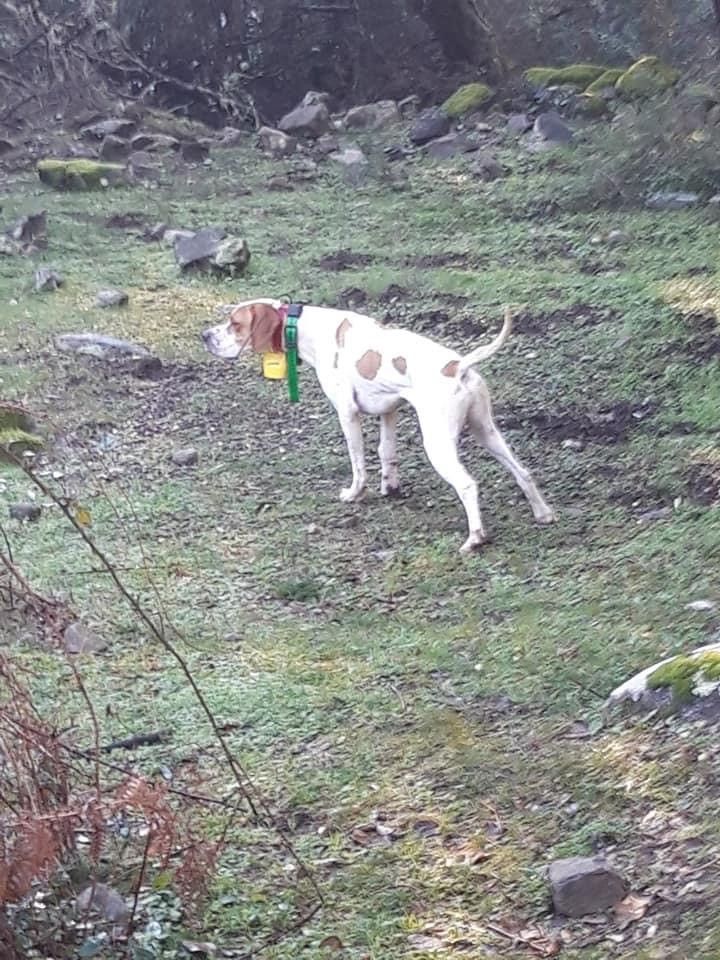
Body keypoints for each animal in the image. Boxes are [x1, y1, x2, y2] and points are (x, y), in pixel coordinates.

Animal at [204, 300, 556, 556]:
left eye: (234, 324)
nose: (205, 335)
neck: (307, 328)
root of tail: (458, 366)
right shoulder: (389, 411)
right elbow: (387, 453)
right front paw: (390, 487)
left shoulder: (348, 414)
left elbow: (359, 462)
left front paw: (355, 494)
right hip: (487, 432)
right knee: (523, 471)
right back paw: (543, 513)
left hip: (438, 444)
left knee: (468, 485)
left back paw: (475, 538)